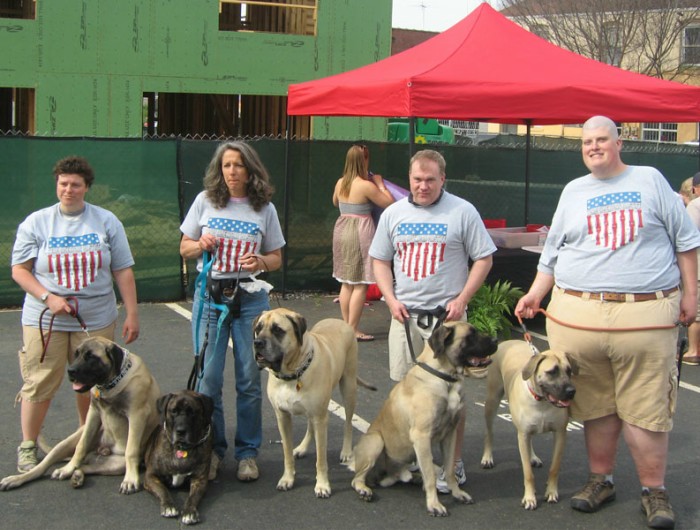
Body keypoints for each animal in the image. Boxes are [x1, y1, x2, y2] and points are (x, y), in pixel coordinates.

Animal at [144, 388, 213, 524]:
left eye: (192, 412)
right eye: (174, 411)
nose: (181, 431)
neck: (181, 448)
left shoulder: (200, 480)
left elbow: (193, 497)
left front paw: (189, 512)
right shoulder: (150, 476)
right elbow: (163, 490)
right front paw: (169, 506)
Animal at [350, 320, 498, 512]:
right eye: (470, 335)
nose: (496, 340)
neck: (445, 377)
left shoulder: (450, 434)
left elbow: (449, 470)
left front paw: (457, 493)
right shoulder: (422, 436)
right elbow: (430, 476)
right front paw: (434, 504)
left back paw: (413, 478)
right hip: (376, 441)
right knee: (357, 479)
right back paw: (364, 490)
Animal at [478, 338, 576, 508]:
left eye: (569, 371)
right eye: (552, 372)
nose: (571, 391)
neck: (542, 401)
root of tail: (509, 341)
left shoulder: (560, 434)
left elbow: (555, 468)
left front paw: (551, 492)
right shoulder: (522, 435)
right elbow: (528, 473)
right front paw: (530, 498)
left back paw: (533, 457)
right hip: (492, 400)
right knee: (489, 431)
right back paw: (487, 457)